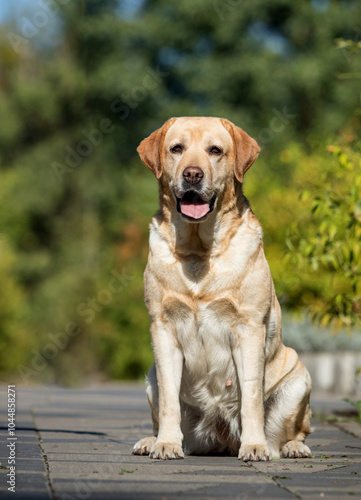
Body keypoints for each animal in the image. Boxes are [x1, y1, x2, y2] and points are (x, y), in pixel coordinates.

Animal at [131, 116, 310, 460]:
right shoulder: (163, 328)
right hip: (150, 378)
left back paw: (290, 447)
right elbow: (170, 400)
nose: (192, 174)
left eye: (215, 150)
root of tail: (222, 437)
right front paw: (166, 444)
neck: (198, 251)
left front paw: (254, 446)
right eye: (177, 149)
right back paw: (151, 440)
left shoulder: (248, 328)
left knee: (293, 432)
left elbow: (251, 397)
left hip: (298, 378)